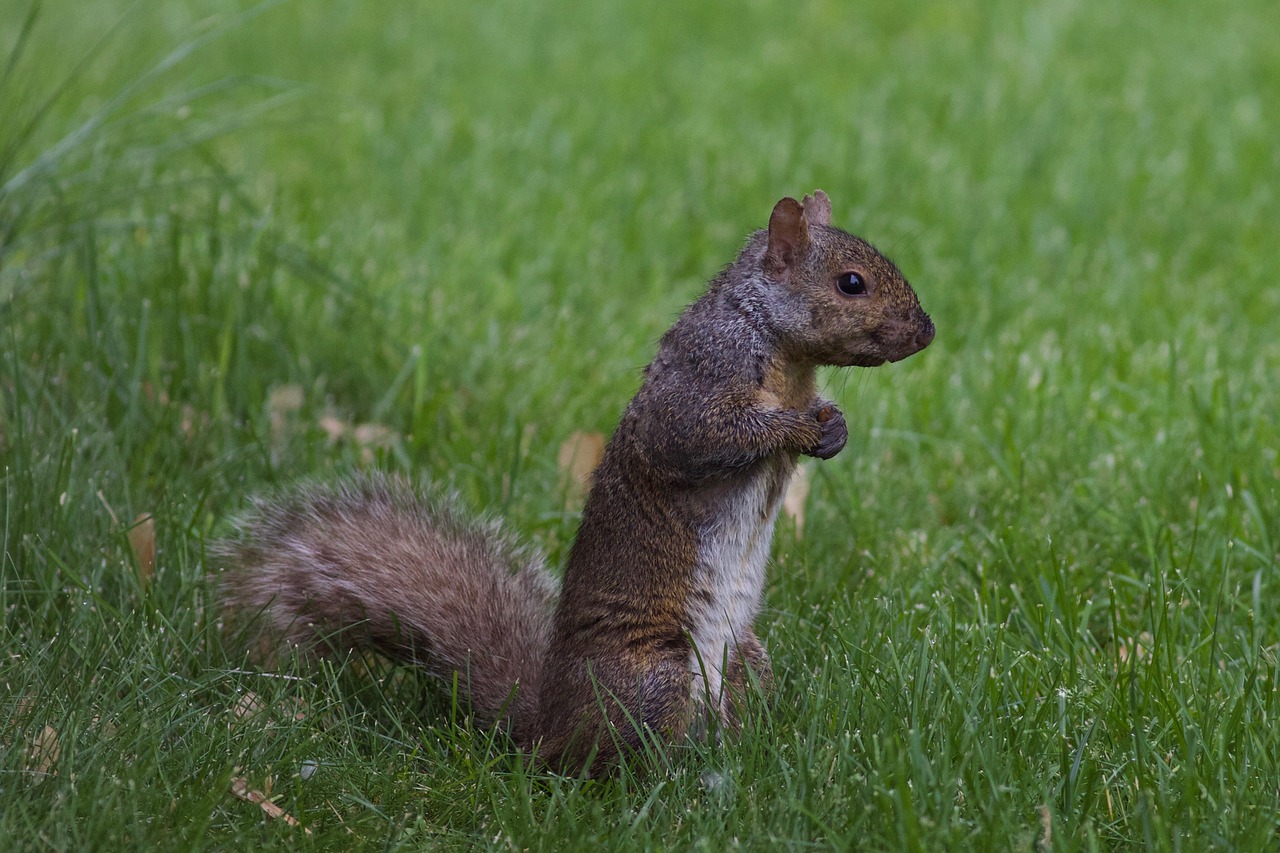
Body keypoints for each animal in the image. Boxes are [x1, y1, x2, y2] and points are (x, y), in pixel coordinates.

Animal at [215, 190, 936, 768]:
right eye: (851, 283)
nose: (926, 333)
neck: (783, 353)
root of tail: (544, 724)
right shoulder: (703, 375)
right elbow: (700, 438)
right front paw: (799, 427)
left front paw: (835, 427)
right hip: (652, 678)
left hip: (742, 666)